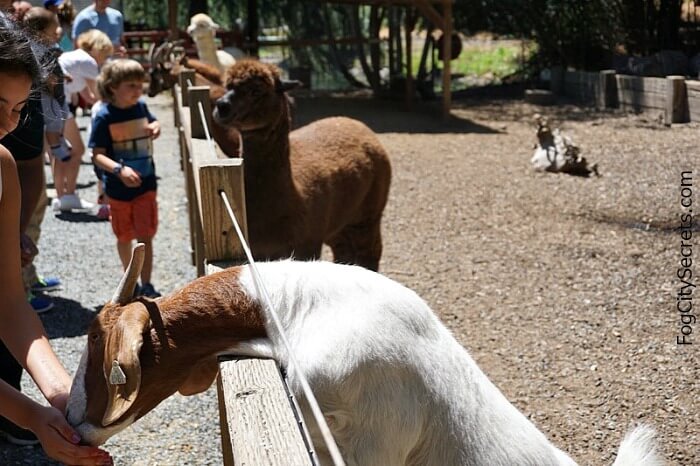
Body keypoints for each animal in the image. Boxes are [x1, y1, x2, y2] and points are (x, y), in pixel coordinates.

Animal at [213, 61, 392, 272]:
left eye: (256, 90)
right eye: (227, 87)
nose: (222, 107)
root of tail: (357, 123)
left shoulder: (306, 246)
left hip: (369, 212)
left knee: (370, 250)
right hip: (338, 219)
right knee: (344, 250)